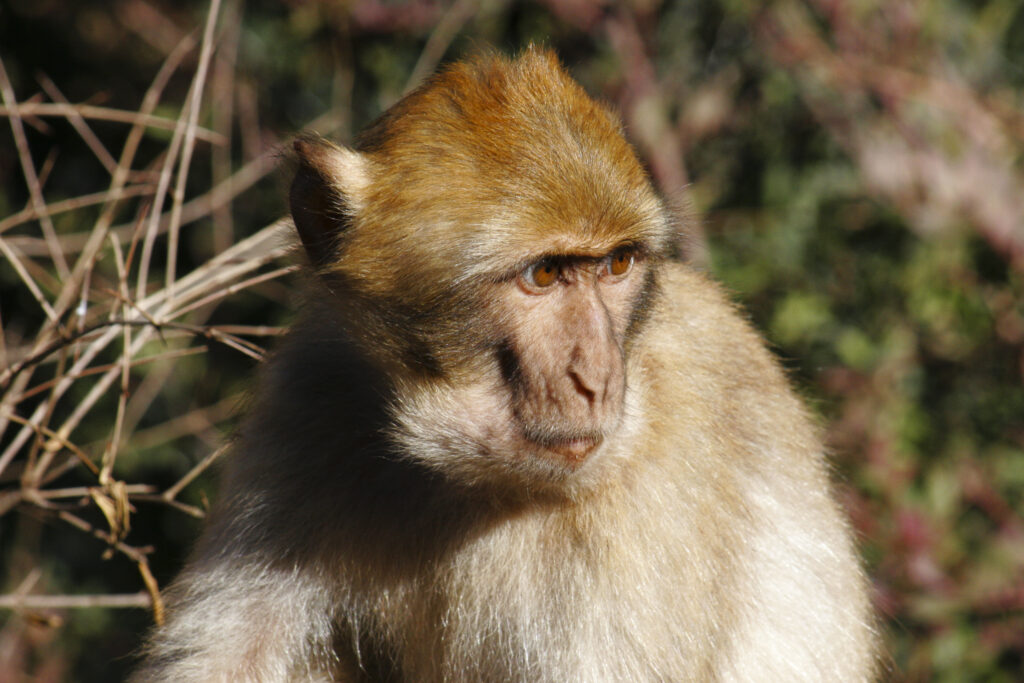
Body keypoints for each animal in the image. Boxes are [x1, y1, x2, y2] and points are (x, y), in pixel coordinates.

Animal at [131, 48, 877, 682]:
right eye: (544, 274)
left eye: (616, 265)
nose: (597, 380)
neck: (471, 479)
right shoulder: (312, 396)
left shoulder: (645, 499)